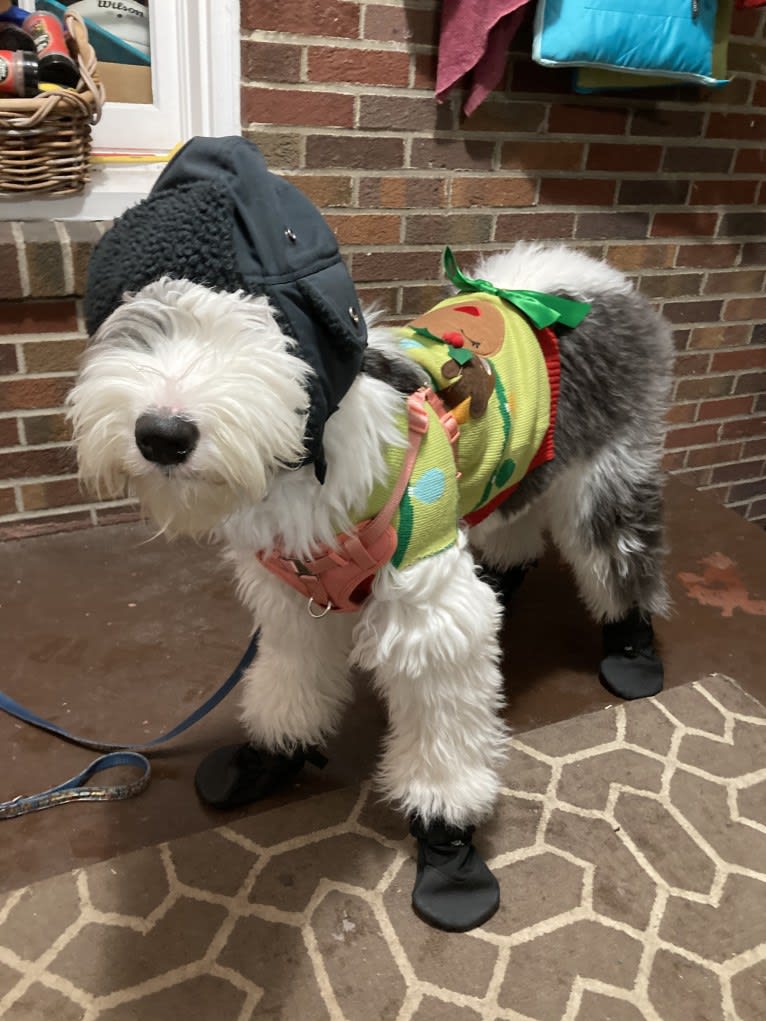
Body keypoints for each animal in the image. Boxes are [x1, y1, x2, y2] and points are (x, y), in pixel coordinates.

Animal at [70, 137, 669, 935]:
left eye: (257, 332)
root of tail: (585, 275)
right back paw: (506, 580)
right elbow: (291, 677)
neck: (308, 467)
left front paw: (448, 841)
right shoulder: (293, 594)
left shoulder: (429, 612)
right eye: (135, 326)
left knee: (621, 550)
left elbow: (444, 733)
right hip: (521, 470)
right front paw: (273, 754)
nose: (162, 435)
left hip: (611, 470)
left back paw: (632, 646)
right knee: (515, 524)